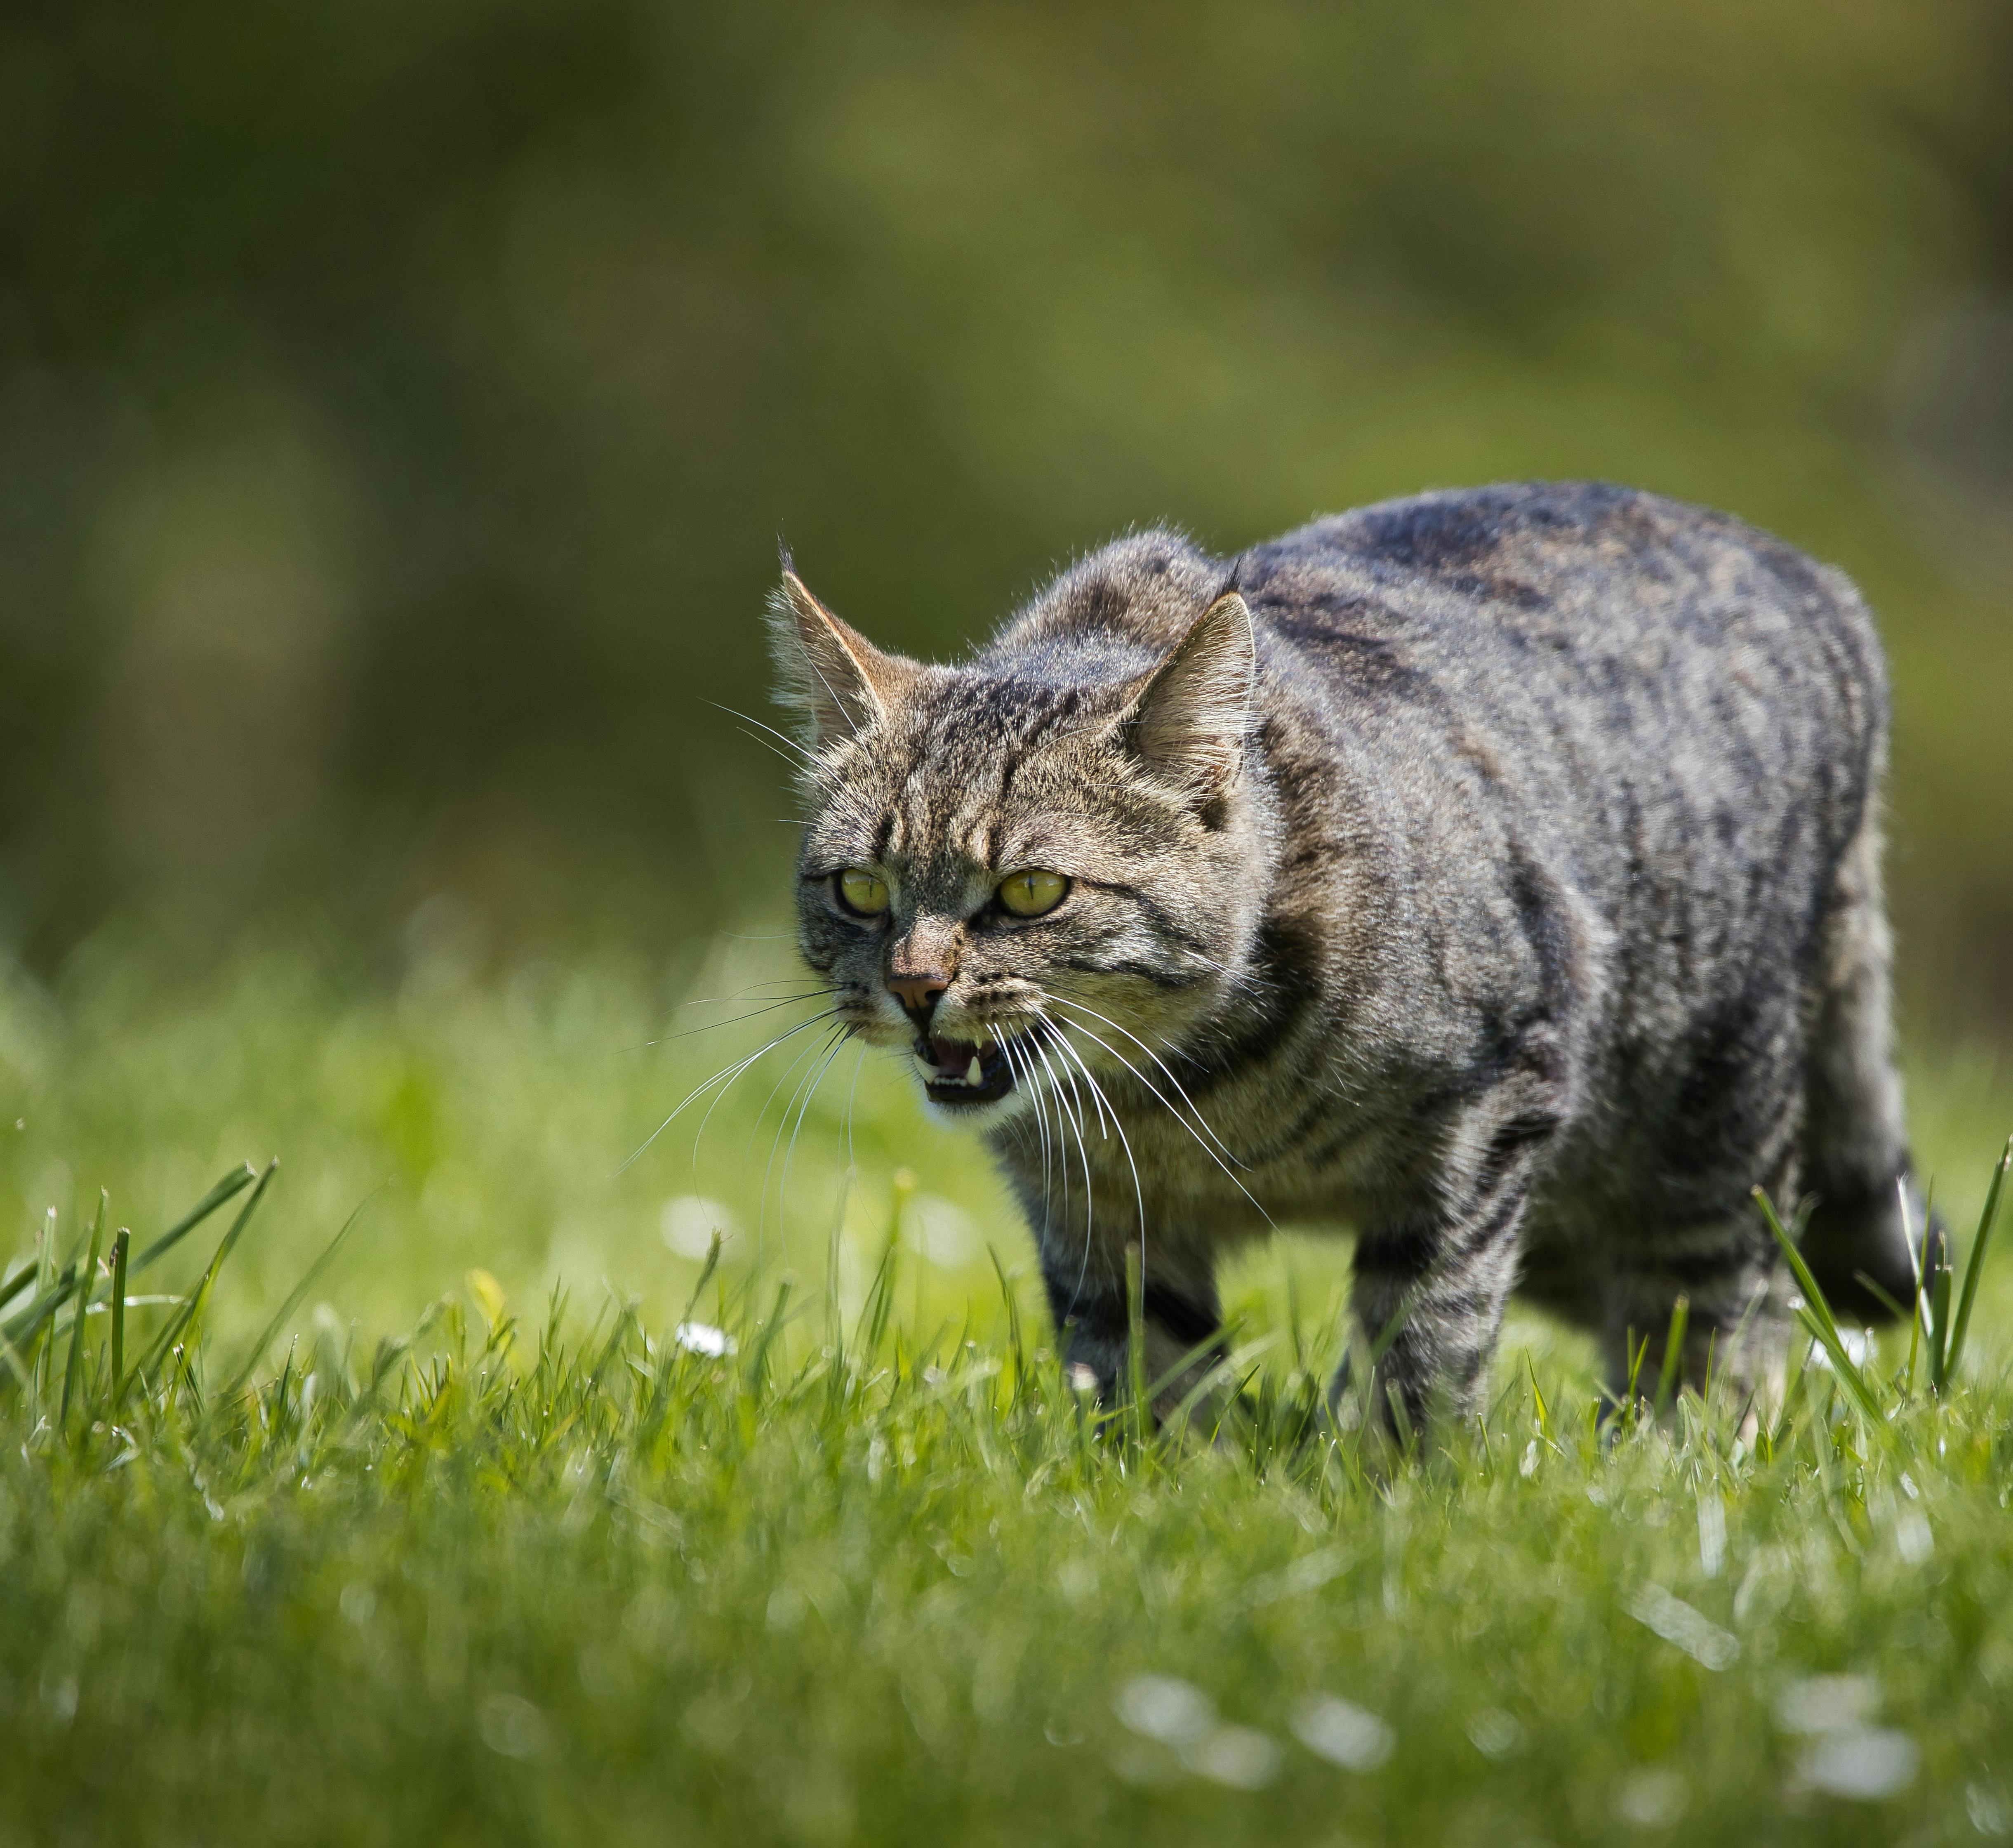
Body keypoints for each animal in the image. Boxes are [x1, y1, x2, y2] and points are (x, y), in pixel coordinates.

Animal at [765, 485, 1916, 1441]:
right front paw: (1165, 1481)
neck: (1188, 1099)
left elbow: (1426, 1335)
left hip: (1702, 1137)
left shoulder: (1489, 1116)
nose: (915, 986)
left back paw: (1667, 1457)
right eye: (859, 889)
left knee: (1720, 1322)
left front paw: (1398, 1485)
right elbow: (1138, 1361)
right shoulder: (1087, 1209)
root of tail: (1816, 580)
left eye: (1031, 892)